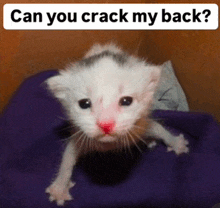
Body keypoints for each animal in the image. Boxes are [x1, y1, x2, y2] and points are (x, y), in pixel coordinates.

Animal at [44, 43, 189, 206]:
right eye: (84, 104)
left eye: (126, 101)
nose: (106, 124)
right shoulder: (80, 136)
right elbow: (67, 157)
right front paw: (59, 188)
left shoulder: (138, 127)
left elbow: (158, 128)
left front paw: (176, 143)